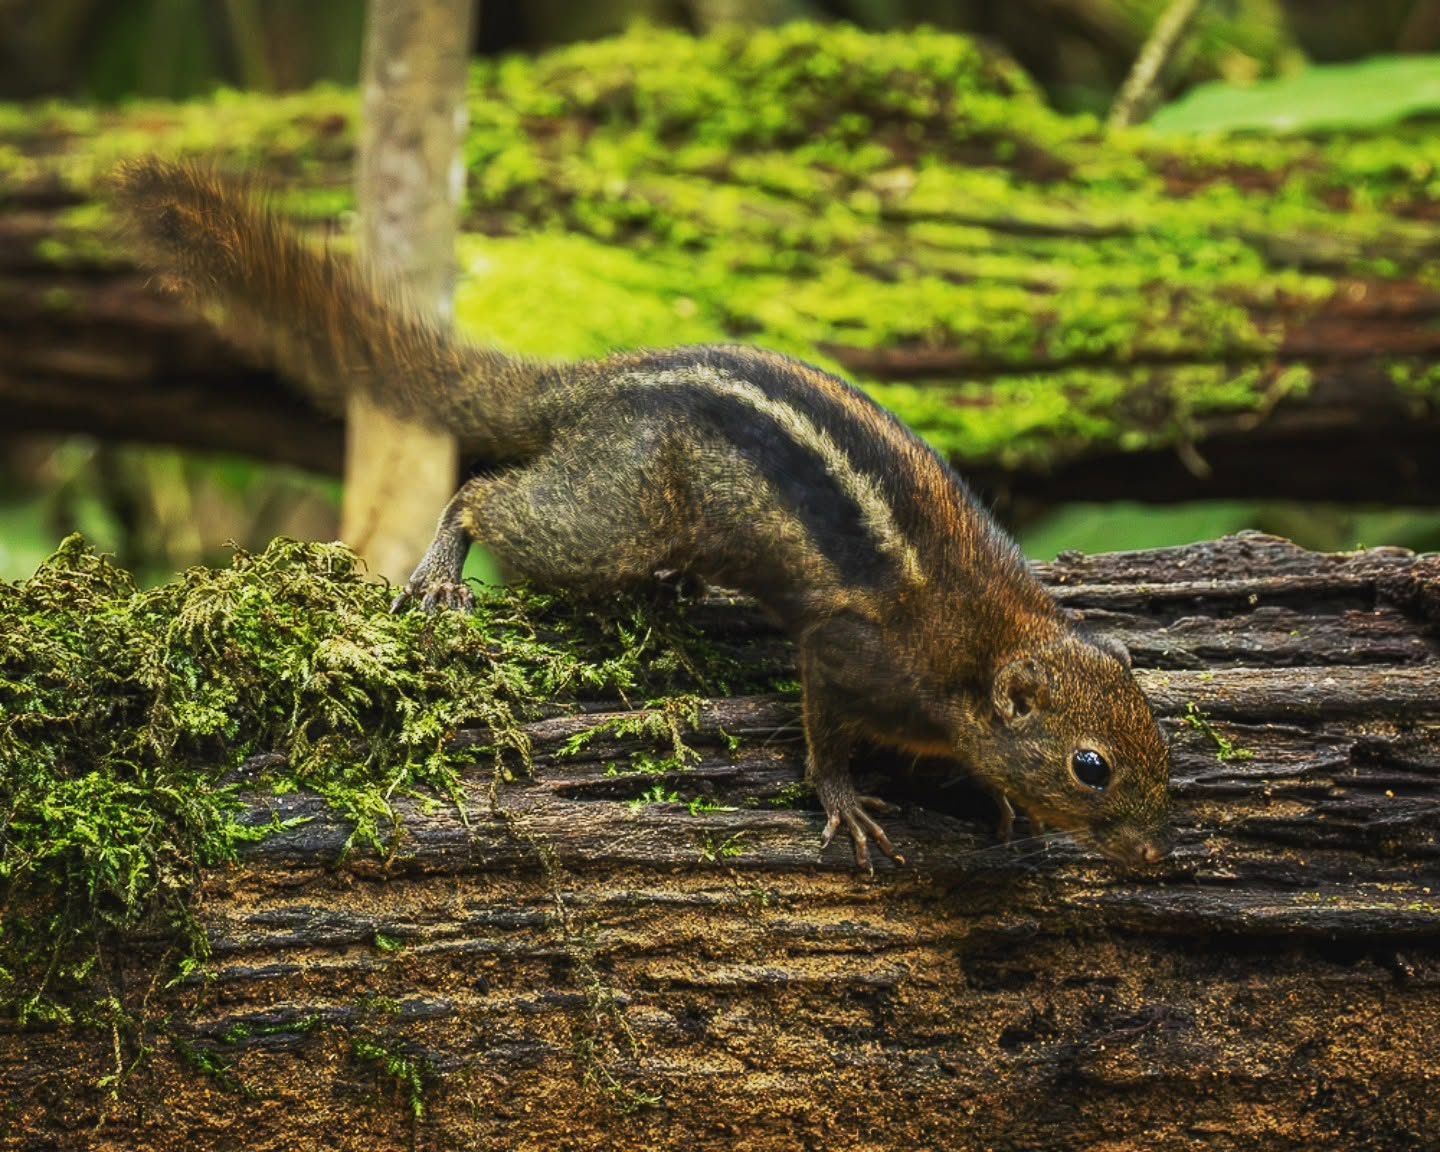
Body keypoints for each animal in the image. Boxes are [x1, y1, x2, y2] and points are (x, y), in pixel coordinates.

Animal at [113, 158, 1171, 871]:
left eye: (1158, 744)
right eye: (1090, 767)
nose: (1157, 856)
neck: (987, 643)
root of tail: (593, 384)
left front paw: (1001, 806)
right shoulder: (851, 652)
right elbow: (824, 726)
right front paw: (849, 802)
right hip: (607, 519)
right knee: (486, 497)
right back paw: (444, 573)